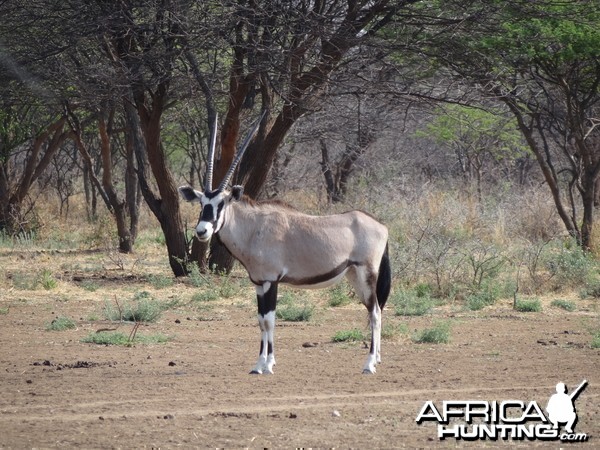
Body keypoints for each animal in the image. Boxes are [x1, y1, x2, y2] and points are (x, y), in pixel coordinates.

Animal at [180, 114, 392, 374]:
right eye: (202, 203)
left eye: (222, 203)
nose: (202, 231)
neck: (254, 227)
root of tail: (382, 226)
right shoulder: (259, 283)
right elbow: (261, 320)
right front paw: (259, 364)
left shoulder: (271, 281)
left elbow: (269, 320)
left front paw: (267, 365)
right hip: (354, 276)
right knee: (375, 310)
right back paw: (377, 359)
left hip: (367, 274)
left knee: (375, 313)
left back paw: (369, 364)